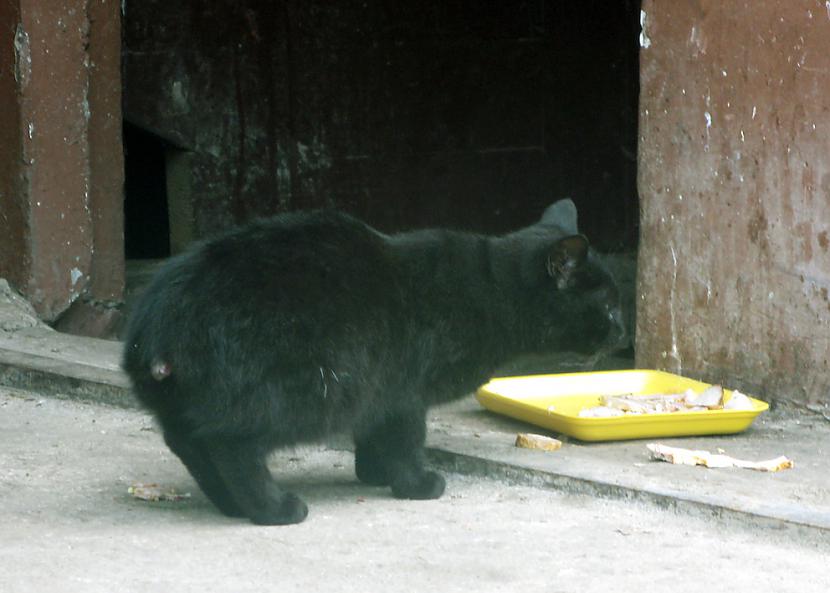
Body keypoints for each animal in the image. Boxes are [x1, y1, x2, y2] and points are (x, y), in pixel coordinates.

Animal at [123, 201, 628, 524]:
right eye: (607, 307)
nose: (623, 332)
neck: (489, 290)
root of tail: (162, 320)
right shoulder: (403, 392)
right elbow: (405, 441)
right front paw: (415, 483)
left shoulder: (377, 390)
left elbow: (371, 436)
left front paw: (373, 473)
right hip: (297, 395)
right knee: (230, 446)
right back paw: (273, 509)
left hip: (186, 408)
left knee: (191, 444)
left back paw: (231, 506)